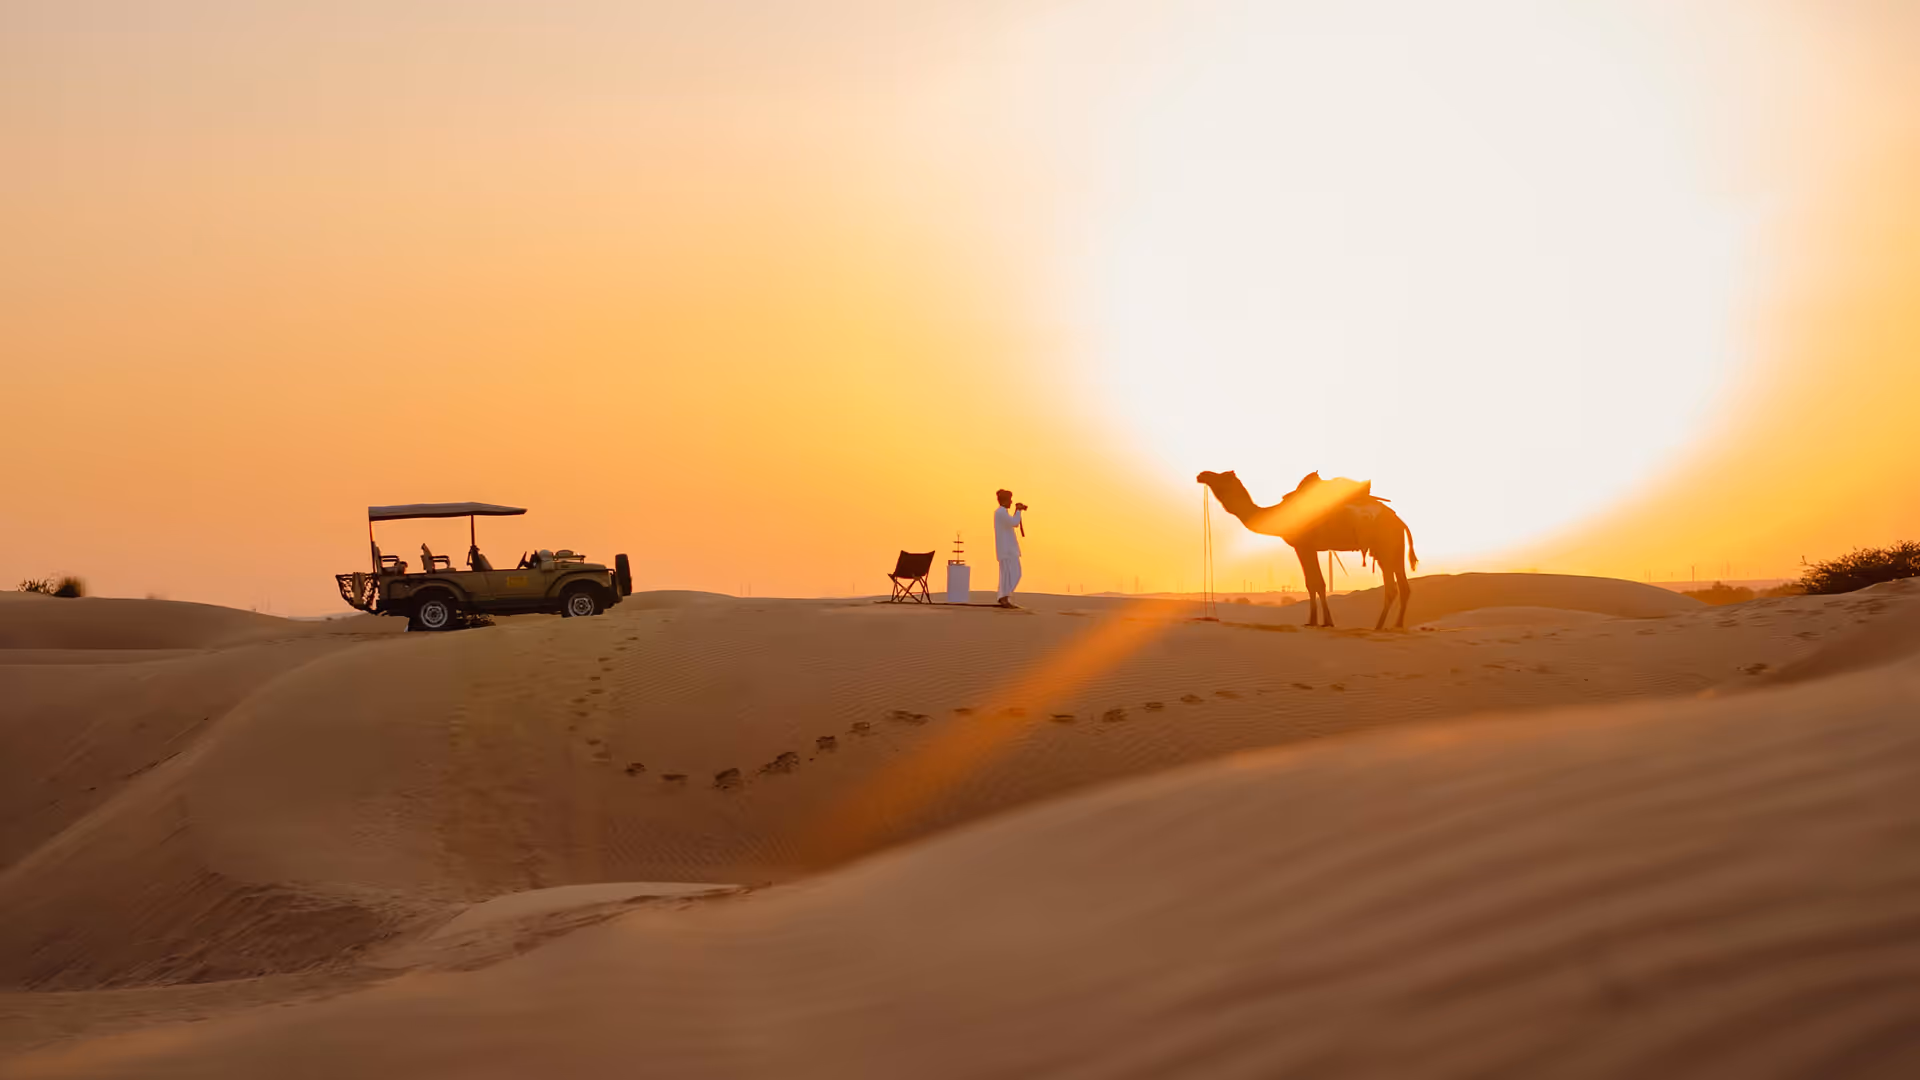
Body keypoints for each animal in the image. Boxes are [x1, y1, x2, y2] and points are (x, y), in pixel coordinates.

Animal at [1196, 470, 1419, 630]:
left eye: (1222, 476)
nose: (1202, 474)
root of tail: (1401, 523)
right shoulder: (1307, 547)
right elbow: (1312, 583)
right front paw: (1315, 621)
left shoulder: (1304, 545)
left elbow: (1316, 583)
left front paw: (1324, 622)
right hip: (1392, 550)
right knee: (1403, 587)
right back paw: (1396, 625)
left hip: (1386, 547)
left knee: (1392, 588)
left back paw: (1380, 626)